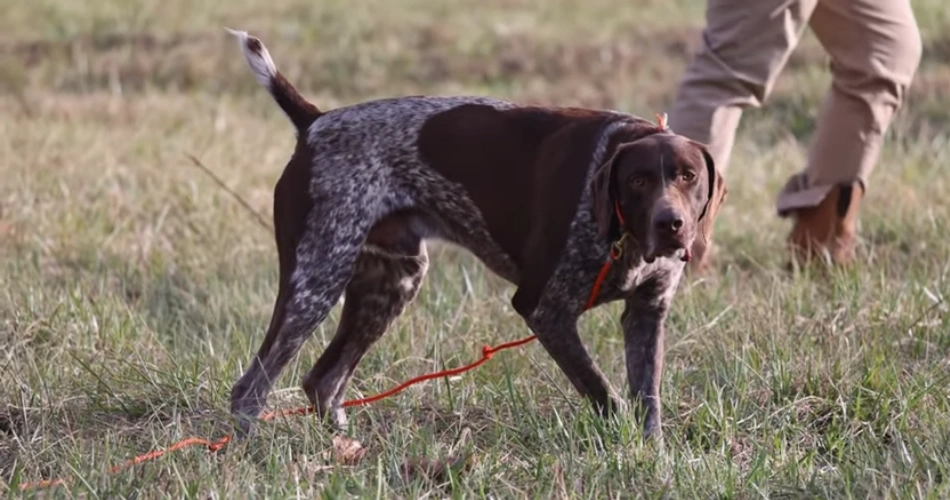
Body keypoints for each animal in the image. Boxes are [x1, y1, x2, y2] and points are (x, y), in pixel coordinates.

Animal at [225, 29, 728, 440]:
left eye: (688, 177)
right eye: (638, 180)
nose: (671, 225)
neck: (623, 236)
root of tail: (315, 121)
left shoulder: (647, 313)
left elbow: (647, 402)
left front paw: (652, 455)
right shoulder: (544, 309)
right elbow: (605, 393)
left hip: (391, 285)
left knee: (323, 381)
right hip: (315, 280)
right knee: (251, 388)